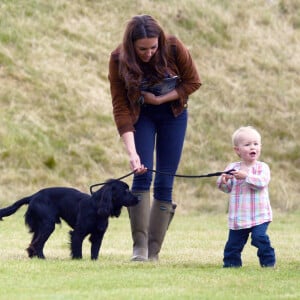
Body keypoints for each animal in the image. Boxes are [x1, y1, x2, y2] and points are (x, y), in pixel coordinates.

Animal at [0, 179, 138, 258]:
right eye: (126, 190)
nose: (138, 198)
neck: (96, 207)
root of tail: (33, 196)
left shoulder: (98, 235)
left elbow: (95, 251)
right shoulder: (78, 233)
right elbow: (77, 250)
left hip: (41, 226)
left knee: (32, 243)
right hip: (47, 225)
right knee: (38, 244)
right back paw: (42, 258)